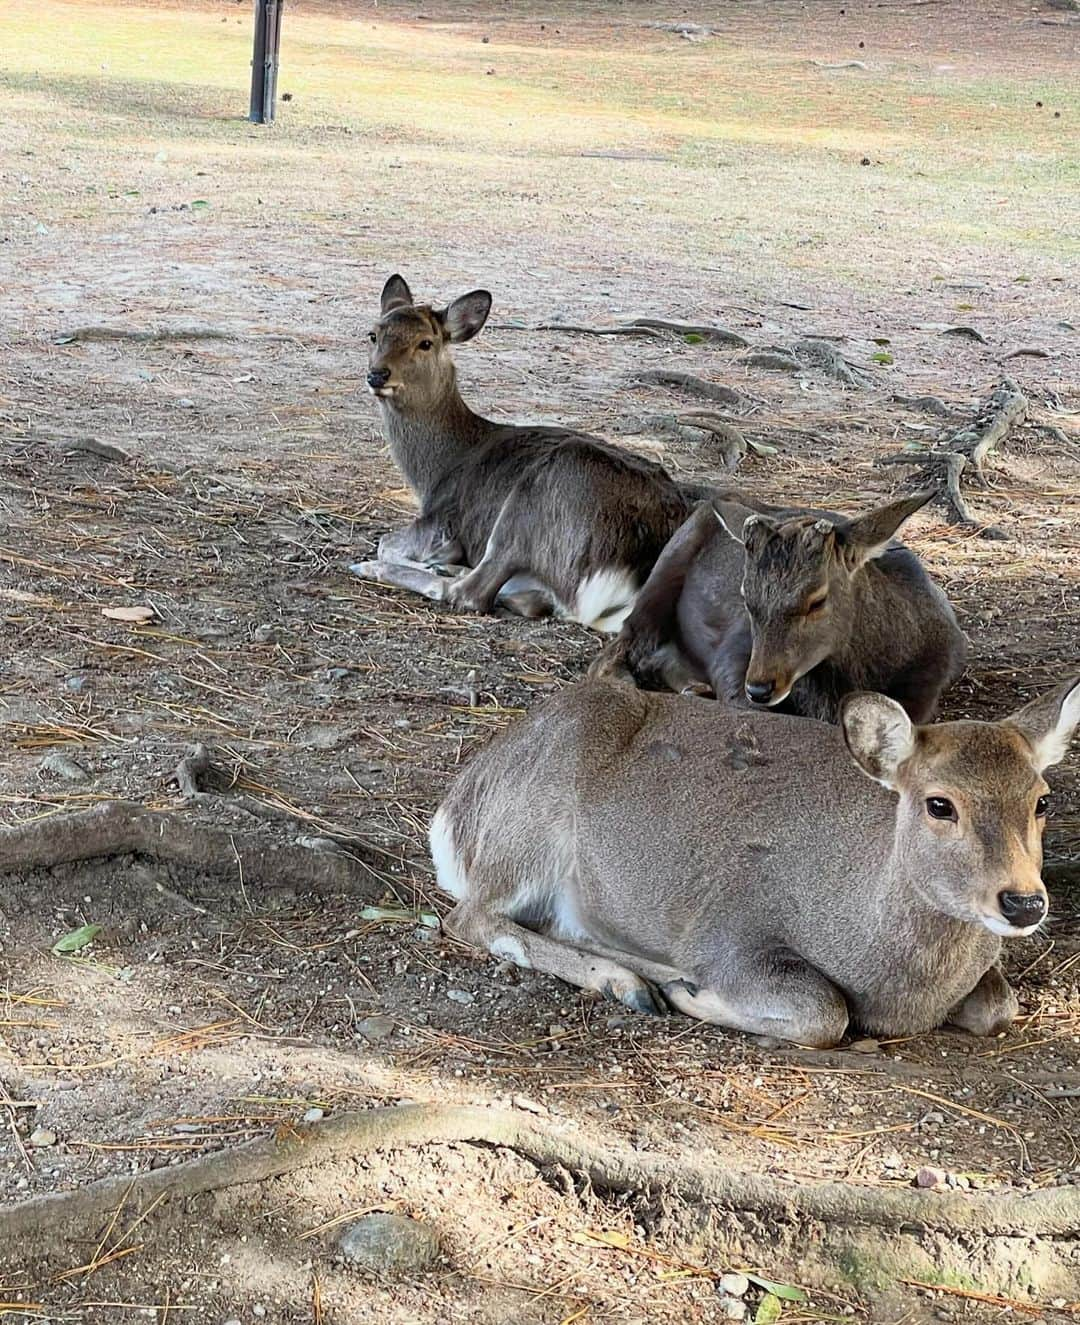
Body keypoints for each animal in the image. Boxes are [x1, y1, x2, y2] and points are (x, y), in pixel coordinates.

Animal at [352, 274, 710, 630]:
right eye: (374, 334)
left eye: (426, 343)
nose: (377, 374)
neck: (434, 473)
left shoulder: (441, 518)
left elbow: (386, 543)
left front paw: (436, 555)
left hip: (534, 500)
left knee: (471, 592)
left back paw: (381, 567)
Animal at [426, 673, 1076, 1044]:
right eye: (940, 803)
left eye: (1042, 800)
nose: (1023, 902)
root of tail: (453, 811)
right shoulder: (732, 929)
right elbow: (825, 1014)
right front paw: (692, 992)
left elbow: (1001, 1006)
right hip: (530, 823)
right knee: (472, 917)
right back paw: (635, 982)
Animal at [598, 492, 970, 726]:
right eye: (746, 598)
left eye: (817, 600)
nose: (760, 688)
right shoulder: (734, 653)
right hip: (666, 566)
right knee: (619, 645)